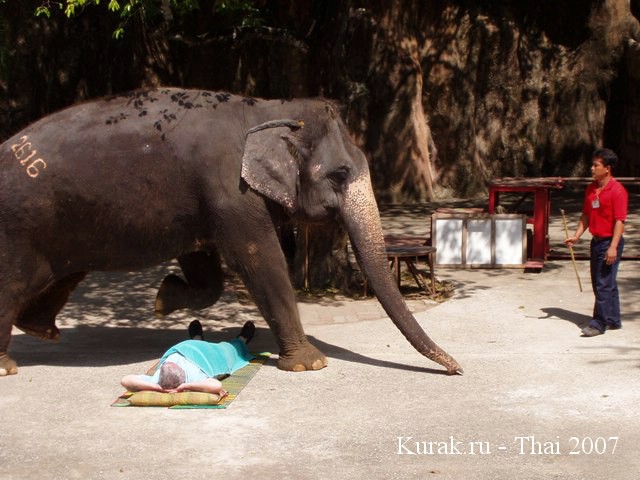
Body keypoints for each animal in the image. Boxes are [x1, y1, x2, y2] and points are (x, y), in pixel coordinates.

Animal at [0, 87, 462, 376]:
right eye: (340, 174)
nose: (458, 367)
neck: (267, 108)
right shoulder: (230, 192)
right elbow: (260, 259)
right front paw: (311, 364)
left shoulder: (202, 202)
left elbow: (206, 267)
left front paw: (164, 299)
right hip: (20, 227)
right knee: (15, 282)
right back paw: (8, 365)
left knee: (62, 274)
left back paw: (41, 330)